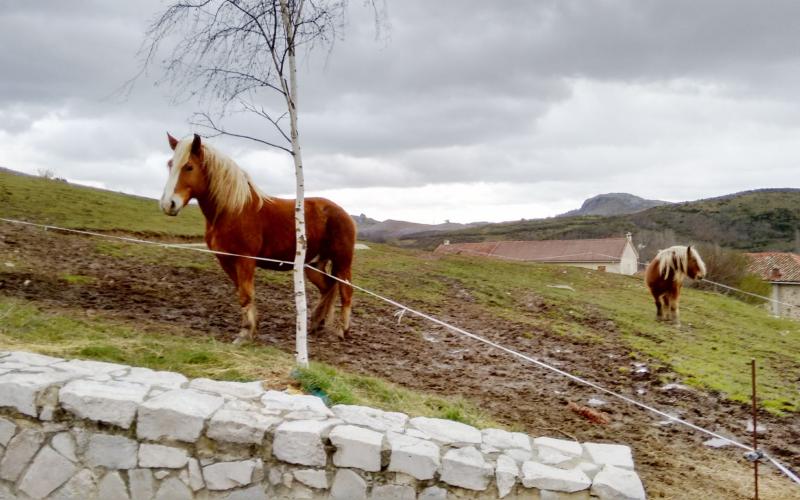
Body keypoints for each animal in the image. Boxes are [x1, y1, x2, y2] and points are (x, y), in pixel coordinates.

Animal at [161, 134, 354, 344]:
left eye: (189, 166)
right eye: (170, 164)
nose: (168, 204)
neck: (233, 210)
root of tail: (343, 213)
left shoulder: (245, 260)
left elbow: (246, 295)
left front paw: (245, 333)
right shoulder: (226, 260)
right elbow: (242, 293)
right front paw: (252, 330)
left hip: (342, 263)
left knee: (346, 291)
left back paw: (341, 331)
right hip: (314, 264)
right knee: (328, 288)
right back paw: (316, 324)